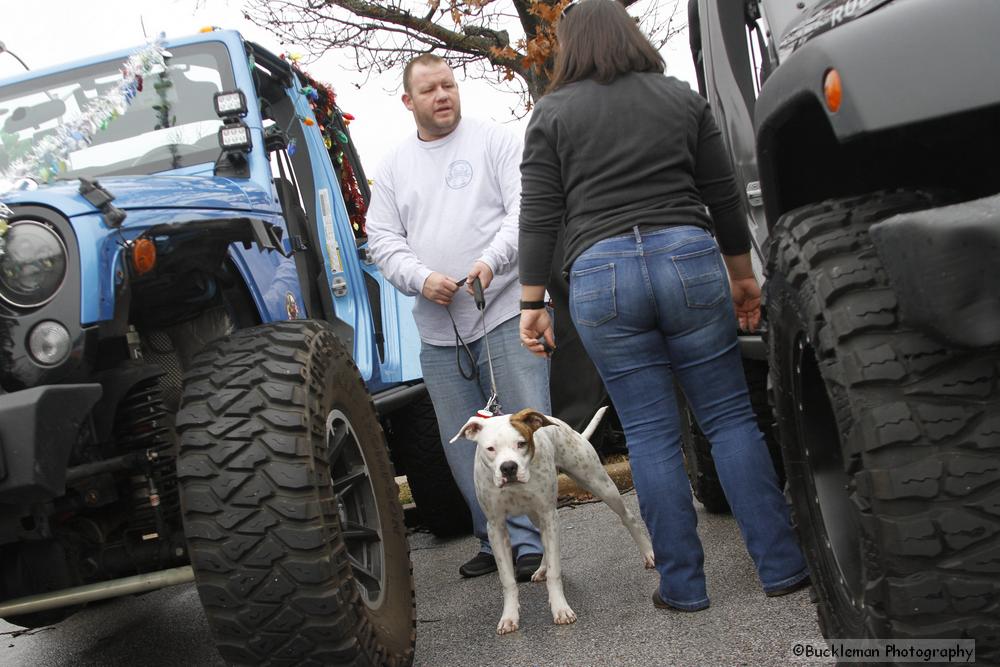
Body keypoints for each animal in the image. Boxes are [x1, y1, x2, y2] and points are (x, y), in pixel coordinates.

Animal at [448, 408, 652, 636]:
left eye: (521, 443)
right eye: (490, 449)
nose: (508, 467)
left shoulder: (549, 515)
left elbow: (555, 572)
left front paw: (560, 609)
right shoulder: (496, 527)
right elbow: (507, 580)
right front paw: (509, 617)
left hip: (599, 484)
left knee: (628, 517)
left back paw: (649, 553)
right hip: (534, 515)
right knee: (542, 539)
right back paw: (541, 568)